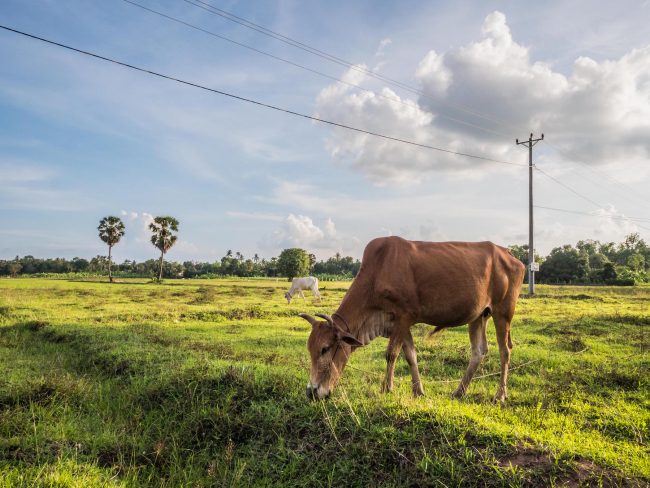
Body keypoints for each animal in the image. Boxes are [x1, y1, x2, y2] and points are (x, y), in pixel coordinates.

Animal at [298, 235, 528, 400]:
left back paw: (500, 395)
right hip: (479, 316)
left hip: (503, 312)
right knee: (479, 352)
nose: (311, 392)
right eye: (310, 350)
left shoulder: (403, 317)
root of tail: (508, 253)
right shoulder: (398, 324)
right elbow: (410, 356)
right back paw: (459, 391)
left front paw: (386, 388)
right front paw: (418, 390)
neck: (377, 272)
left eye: (325, 349)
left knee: (505, 351)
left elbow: (391, 354)